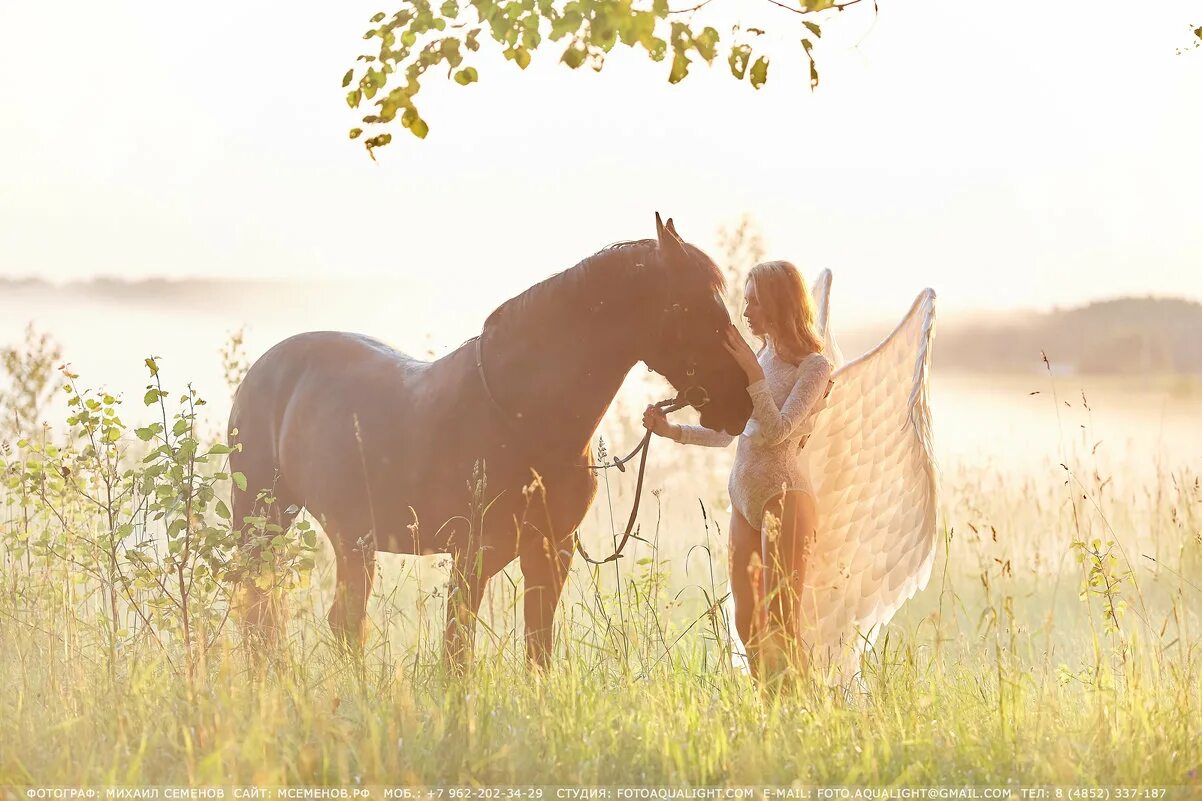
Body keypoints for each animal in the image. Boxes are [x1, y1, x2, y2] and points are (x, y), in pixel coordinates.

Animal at [225, 214, 750, 668]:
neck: (525, 418)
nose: (741, 403)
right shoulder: (472, 555)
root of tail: (262, 370)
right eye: (691, 308)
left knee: (338, 622)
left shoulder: (550, 552)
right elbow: (457, 652)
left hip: (352, 538)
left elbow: (538, 649)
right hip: (265, 522)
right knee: (263, 611)